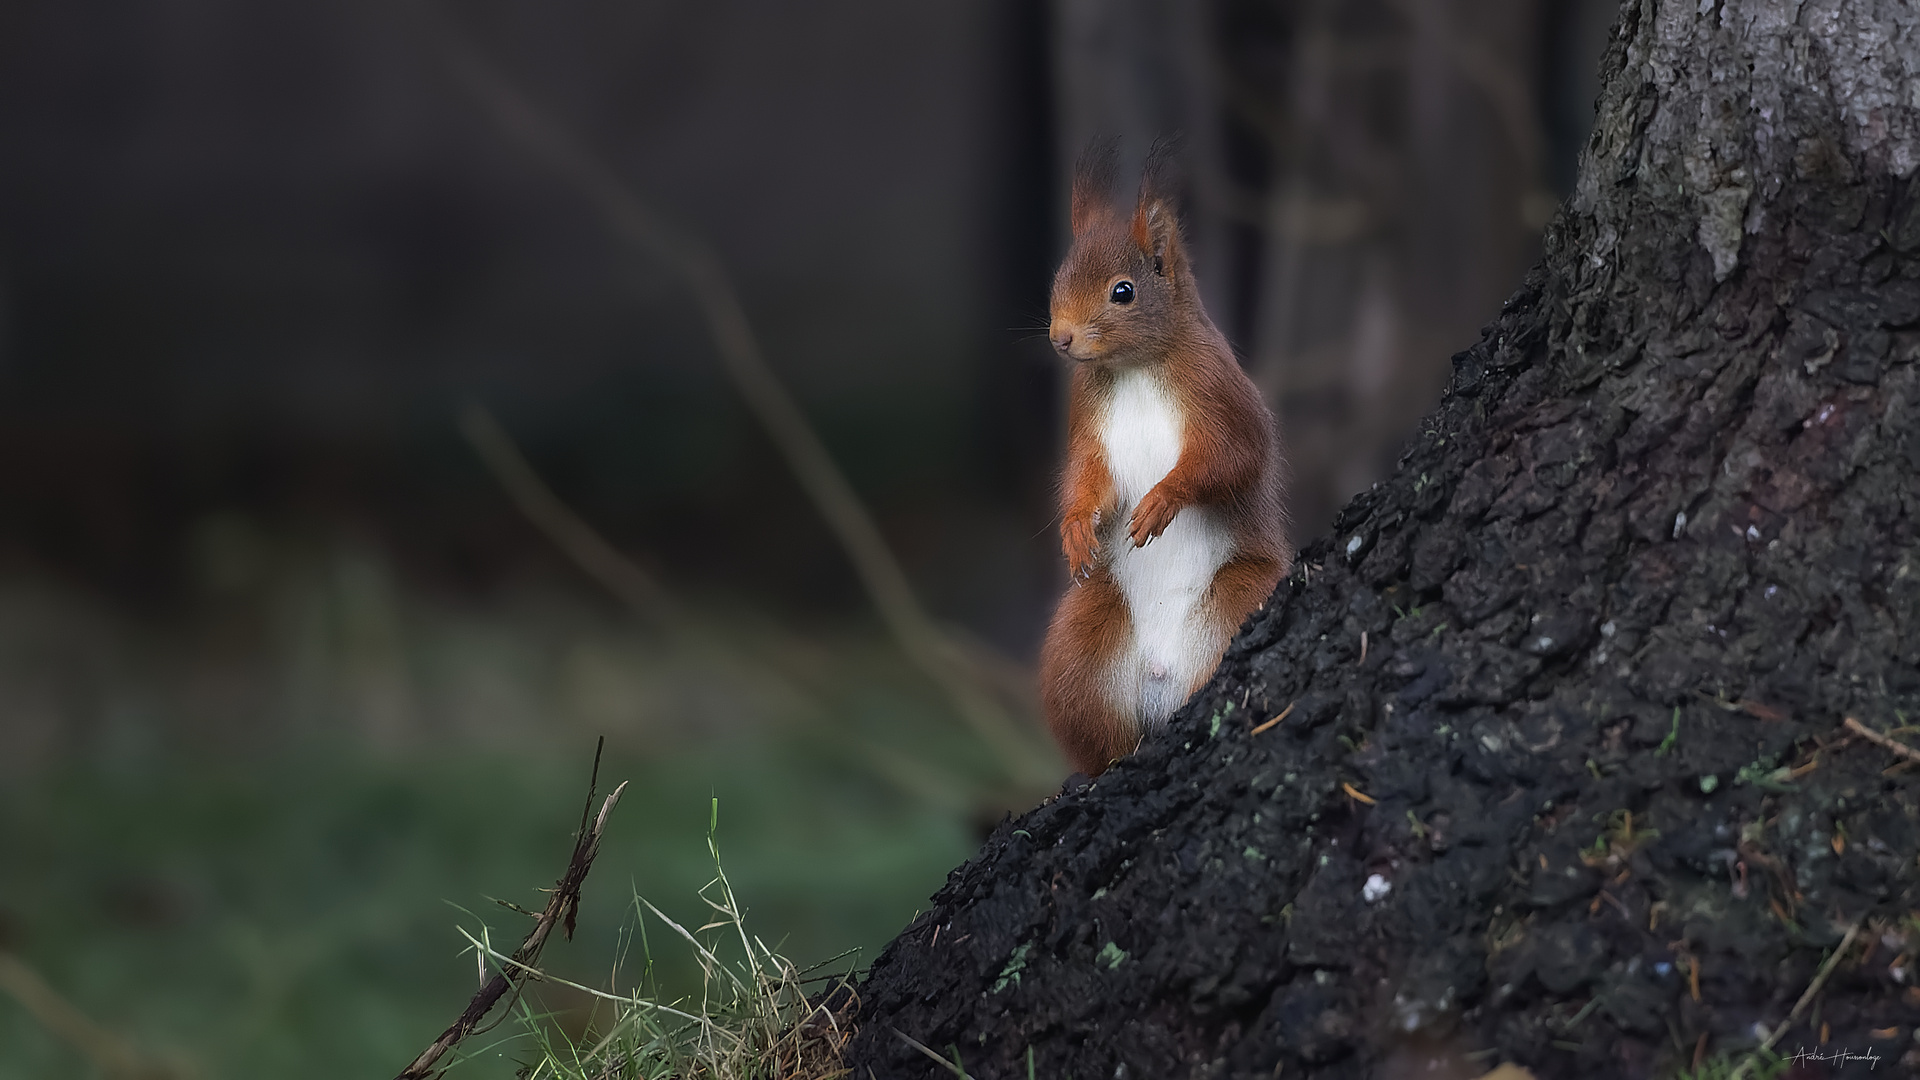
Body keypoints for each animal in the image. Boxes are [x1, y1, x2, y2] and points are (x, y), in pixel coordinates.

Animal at [1036, 141, 1290, 772]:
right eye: (1057, 278)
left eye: (1123, 290)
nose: (1060, 338)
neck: (1135, 367)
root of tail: (1162, 675)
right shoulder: (1088, 423)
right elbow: (1086, 477)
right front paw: (1075, 527)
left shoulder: (1221, 394)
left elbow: (1231, 458)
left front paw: (1162, 501)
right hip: (1082, 642)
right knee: (1104, 736)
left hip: (1243, 597)